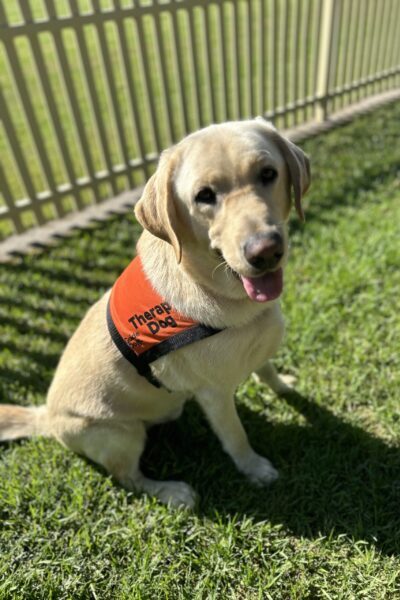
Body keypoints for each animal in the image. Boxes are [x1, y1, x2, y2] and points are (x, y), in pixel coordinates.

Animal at [0, 119, 310, 508]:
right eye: (204, 196)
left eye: (268, 173)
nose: (265, 251)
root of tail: (47, 417)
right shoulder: (215, 396)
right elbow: (236, 438)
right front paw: (254, 469)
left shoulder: (258, 348)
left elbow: (267, 370)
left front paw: (285, 386)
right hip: (122, 435)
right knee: (129, 478)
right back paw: (172, 491)